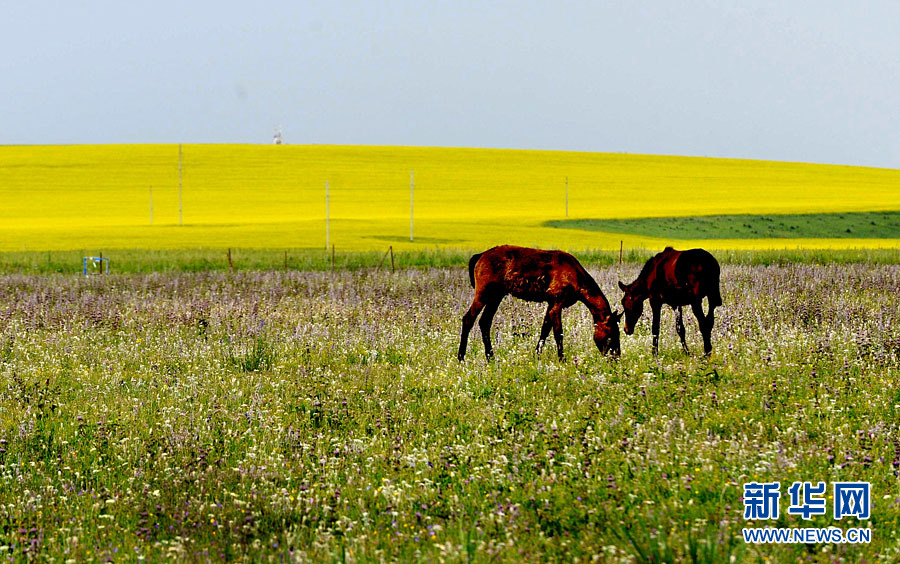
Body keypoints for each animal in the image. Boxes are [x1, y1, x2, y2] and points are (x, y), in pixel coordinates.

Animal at [458, 246, 620, 362]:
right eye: (611, 335)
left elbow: (544, 330)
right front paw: (562, 359)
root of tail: (480, 256)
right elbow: (558, 333)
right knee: (468, 319)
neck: (578, 279)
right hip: (483, 293)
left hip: (496, 296)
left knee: (485, 322)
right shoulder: (557, 303)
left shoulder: (551, 304)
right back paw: (461, 357)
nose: (616, 357)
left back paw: (490, 357)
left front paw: (537, 355)